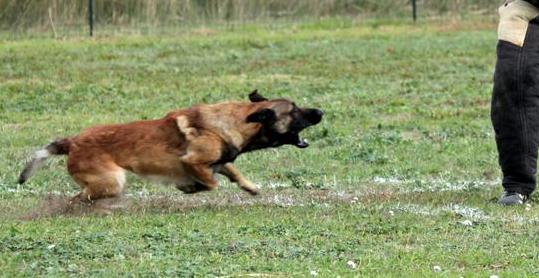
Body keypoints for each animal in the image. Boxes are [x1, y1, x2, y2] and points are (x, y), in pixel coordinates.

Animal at [17, 90, 324, 202]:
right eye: (294, 110)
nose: (320, 112)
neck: (239, 121)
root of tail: (73, 141)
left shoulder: (220, 159)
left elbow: (232, 171)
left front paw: (250, 187)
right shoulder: (193, 162)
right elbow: (212, 183)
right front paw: (190, 187)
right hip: (112, 180)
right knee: (81, 197)